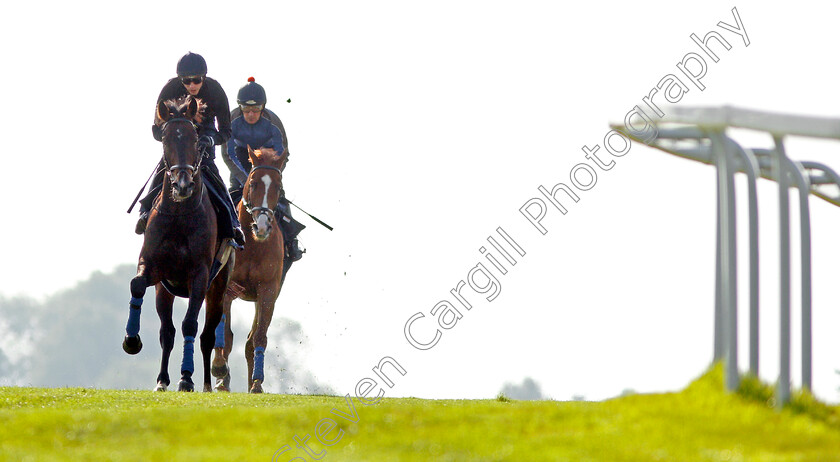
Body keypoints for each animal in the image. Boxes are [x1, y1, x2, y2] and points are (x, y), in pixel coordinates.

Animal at [122, 95, 233, 392]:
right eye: (166, 139)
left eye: (195, 139)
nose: (182, 184)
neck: (180, 214)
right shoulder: (155, 268)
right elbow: (137, 285)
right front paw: (131, 340)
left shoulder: (200, 276)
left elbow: (191, 325)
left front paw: (186, 377)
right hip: (165, 290)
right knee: (167, 332)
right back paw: (162, 379)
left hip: (218, 288)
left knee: (206, 335)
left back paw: (204, 383)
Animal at [212, 148, 288, 394]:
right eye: (253, 183)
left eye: (278, 187)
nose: (262, 227)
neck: (254, 245)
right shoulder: (226, 288)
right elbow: (225, 335)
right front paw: (220, 372)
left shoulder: (268, 291)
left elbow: (258, 338)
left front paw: (257, 382)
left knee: (249, 340)